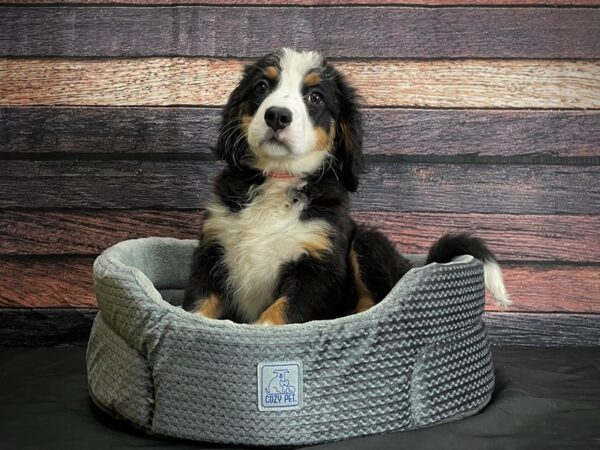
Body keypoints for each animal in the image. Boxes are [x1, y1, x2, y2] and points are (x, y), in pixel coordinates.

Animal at [182, 48, 506, 324]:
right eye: (262, 87)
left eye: (315, 97)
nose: (276, 115)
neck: (278, 178)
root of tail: (412, 267)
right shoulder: (211, 251)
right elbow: (197, 309)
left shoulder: (318, 268)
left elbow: (278, 314)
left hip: (366, 242)